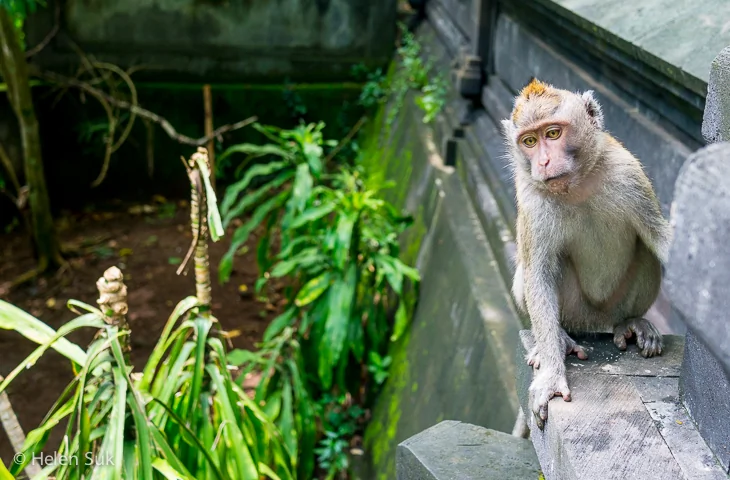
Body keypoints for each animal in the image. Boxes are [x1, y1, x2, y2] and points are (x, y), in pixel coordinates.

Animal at [500, 78, 672, 429]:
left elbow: (658, 236)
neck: (576, 185)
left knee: (645, 250)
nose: (543, 163)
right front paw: (552, 375)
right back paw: (560, 338)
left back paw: (630, 323)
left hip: (615, 305)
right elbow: (538, 274)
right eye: (529, 141)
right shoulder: (532, 199)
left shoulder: (629, 173)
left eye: (553, 133)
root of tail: (597, 325)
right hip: (576, 311)